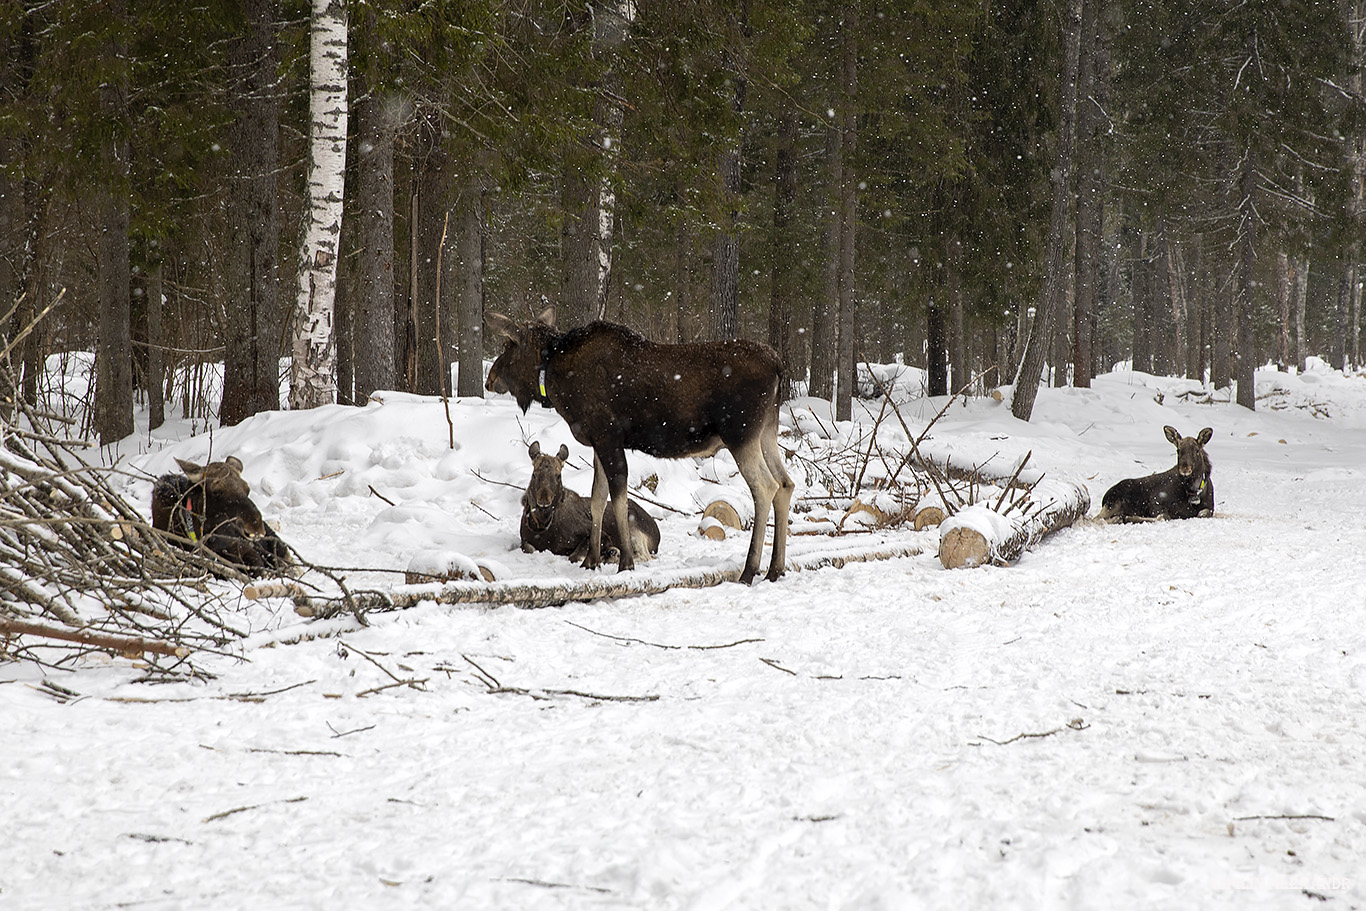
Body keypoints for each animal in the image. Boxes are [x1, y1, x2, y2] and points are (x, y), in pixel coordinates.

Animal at [516, 442, 661, 562]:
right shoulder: (525, 541)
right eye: (534, 474)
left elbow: (574, 556)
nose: (544, 500)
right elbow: (529, 548)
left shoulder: (598, 533)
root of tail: (657, 533)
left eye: (558, 475)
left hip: (634, 532)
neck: (542, 524)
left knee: (645, 556)